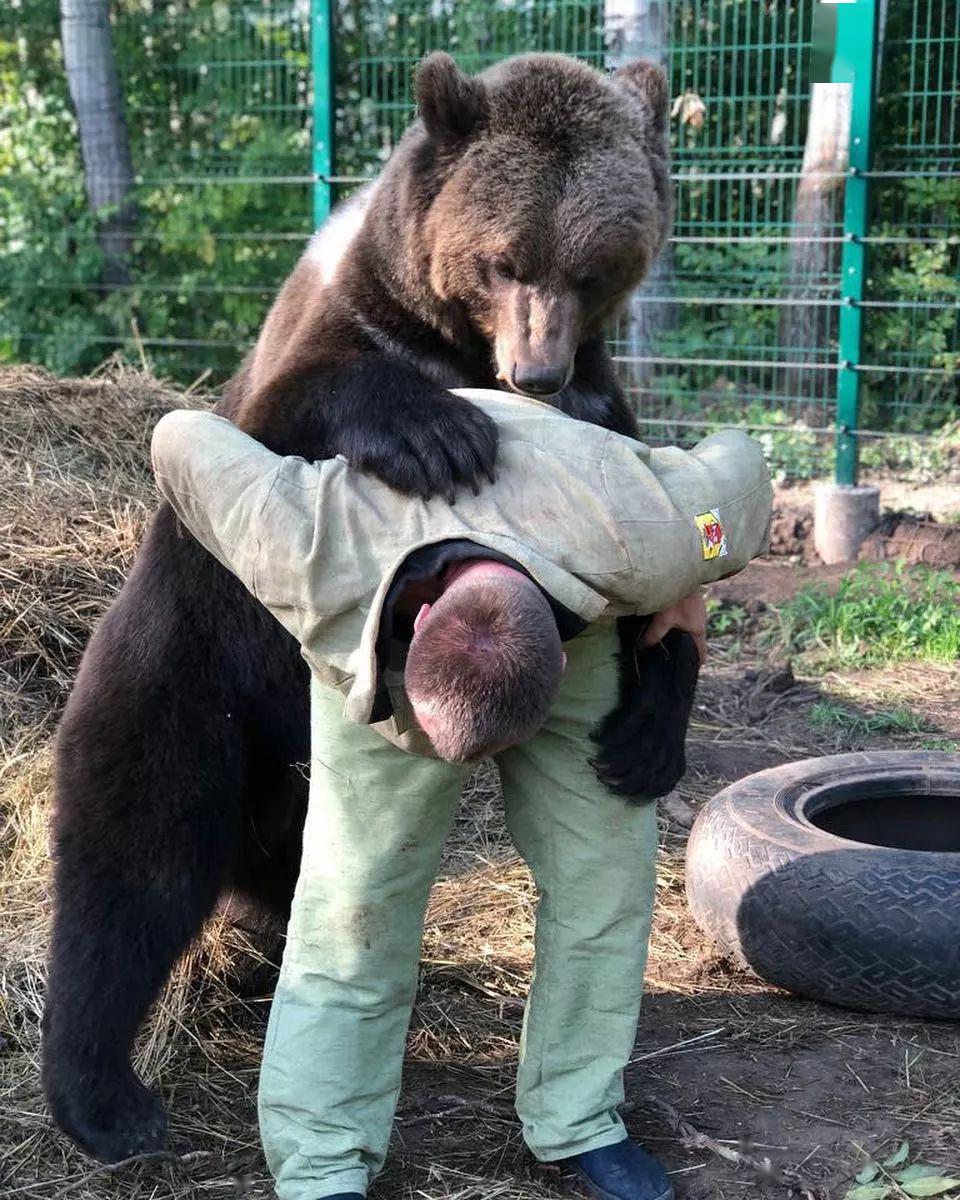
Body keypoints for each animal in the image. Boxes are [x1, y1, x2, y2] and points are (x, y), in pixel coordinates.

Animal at [41, 51, 696, 1166]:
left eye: (596, 267)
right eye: (504, 259)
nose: (537, 371)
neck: (461, 347)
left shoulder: (609, 412)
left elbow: (645, 593)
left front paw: (644, 738)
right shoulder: (326, 350)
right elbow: (299, 406)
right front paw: (442, 436)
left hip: (285, 792)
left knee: (286, 876)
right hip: (179, 688)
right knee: (130, 876)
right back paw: (105, 1099)